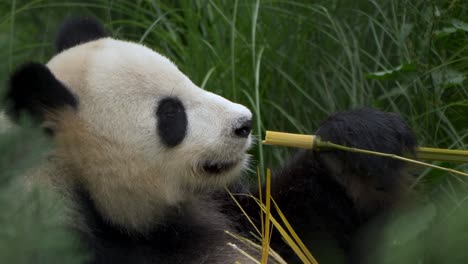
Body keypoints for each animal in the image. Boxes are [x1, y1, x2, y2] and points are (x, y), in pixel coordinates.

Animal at [2, 17, 414, 262]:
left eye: (188, 79)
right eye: (171, 115)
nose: (244, 123)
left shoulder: (223, 208)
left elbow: (291, 221)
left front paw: (358, 143)